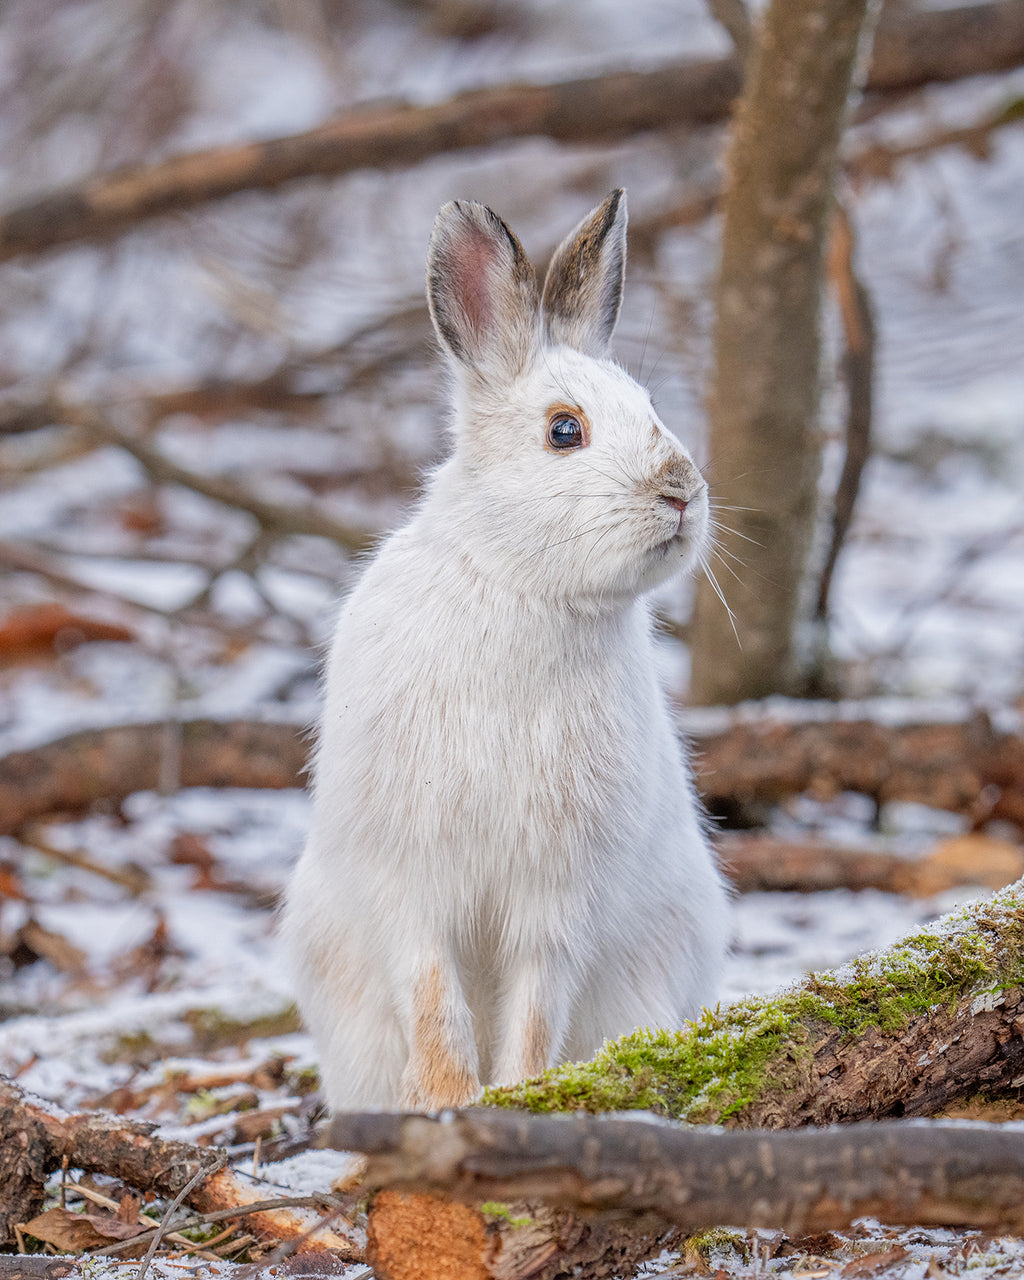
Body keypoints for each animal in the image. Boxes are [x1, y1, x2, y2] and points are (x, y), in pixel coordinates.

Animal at [281, 189, 729, 1113]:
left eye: (652, 409)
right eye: (565, 431)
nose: (682, 491)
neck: (525, 589)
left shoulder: (556, 898)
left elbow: (534, 1007)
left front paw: (517, 1097)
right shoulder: (410, 879)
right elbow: (433, 997)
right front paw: (447, 1101)